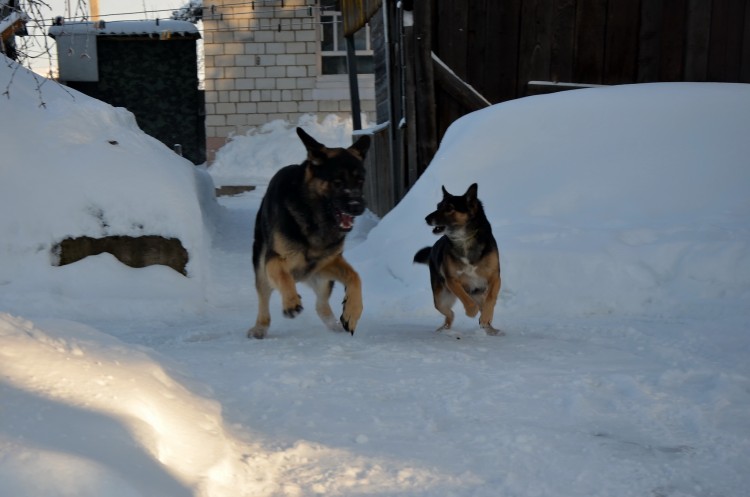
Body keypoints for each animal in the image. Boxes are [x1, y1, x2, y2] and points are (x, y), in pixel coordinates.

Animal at [251, 127, 372, 338]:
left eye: (360, 181)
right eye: (337, 182)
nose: (358, 207)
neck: (314, 216)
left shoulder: (327, 262)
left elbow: (355, 277)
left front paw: (352, 312)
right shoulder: (274, 260)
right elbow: (283, 276)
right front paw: (291, 302)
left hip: (321, 278)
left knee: (321, 305)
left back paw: (335, 325)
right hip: (261, 266)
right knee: (264, 297)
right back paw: (260, 327)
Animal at [414, 184, 502, 336]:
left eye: (449, 208)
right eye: (438, 206)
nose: (426, 219)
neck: (465, 239)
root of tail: (432, 249)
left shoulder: (495, 277)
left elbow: (491, 298)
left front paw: (486, 317)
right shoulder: (452, 280)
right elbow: (465, 298)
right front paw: (471, 311)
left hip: (477, 293)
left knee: (482, 306)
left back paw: (490, 327)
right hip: (440, 298)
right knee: (450, 313)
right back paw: (444, 329)